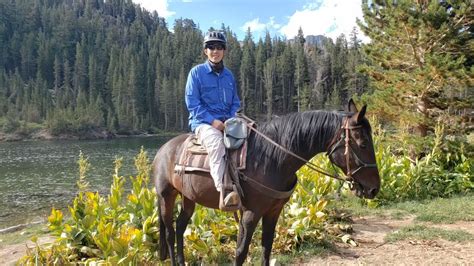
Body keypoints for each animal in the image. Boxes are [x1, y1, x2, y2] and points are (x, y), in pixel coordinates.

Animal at [154, 99, 380, 264]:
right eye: (363, 143)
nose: (374, 189)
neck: (272, 158)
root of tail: (163, 149)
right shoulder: (250, 213)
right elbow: (241, 251)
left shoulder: (273, 211)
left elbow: (266, 248)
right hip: (166, 195)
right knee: (170, 232)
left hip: (188, 197)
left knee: (180, 227)